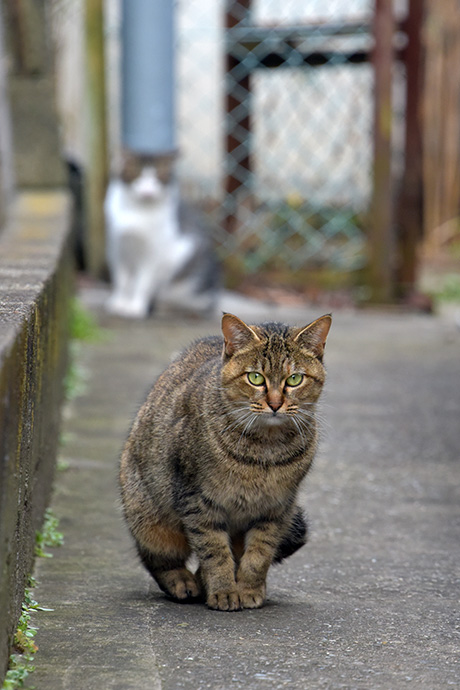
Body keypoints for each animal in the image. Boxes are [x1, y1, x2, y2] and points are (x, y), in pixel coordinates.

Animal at [120, 312, 332, 608]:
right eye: (255, 377)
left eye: (294, 379)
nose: (275, 403)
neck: (264, 451)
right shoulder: (198, 501)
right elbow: (214, 552)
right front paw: (223, 591)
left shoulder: (277, 508)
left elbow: (259, 555)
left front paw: (249, 589)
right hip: (149, 517)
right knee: (158, 557)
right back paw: (182, 582)